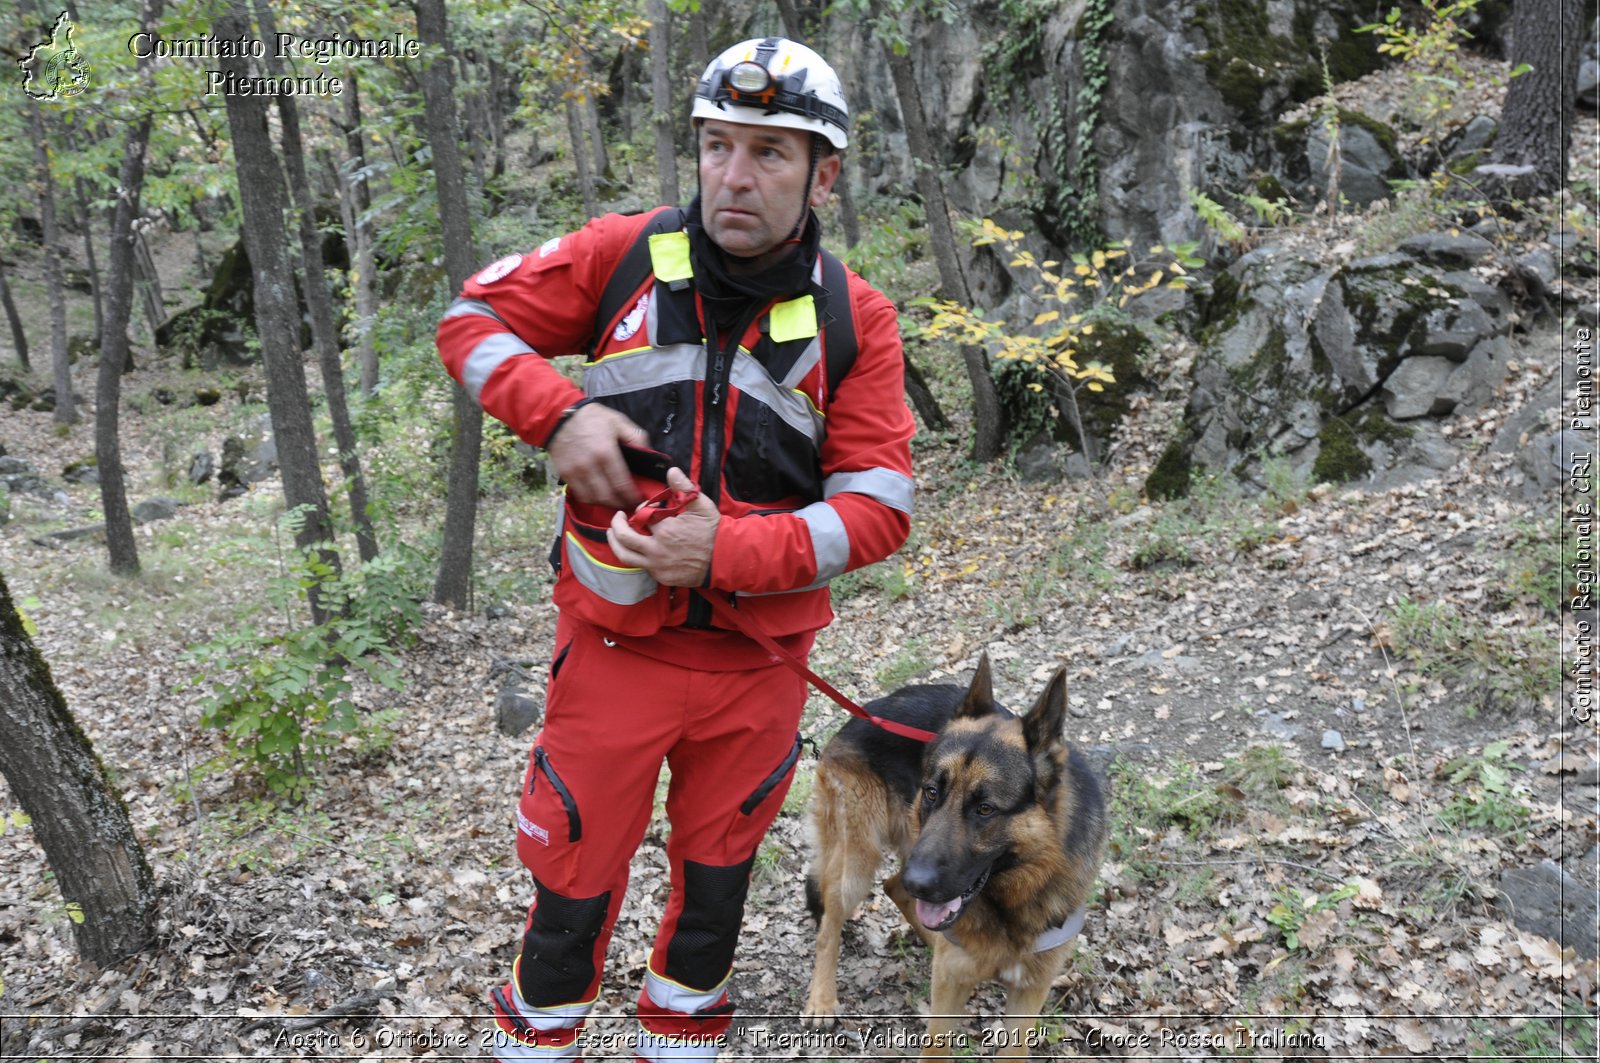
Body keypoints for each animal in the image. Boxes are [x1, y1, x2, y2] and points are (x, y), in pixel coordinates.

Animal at [806, 656, 1107, 1056]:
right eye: (932, 791)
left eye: (985, 809)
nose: (918, 882)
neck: (1009, 902)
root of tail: (867, 712)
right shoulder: (948, 992)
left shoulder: (1029, 992)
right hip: (858, 863)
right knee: (831, 924)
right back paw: (821, 1000)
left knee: (894, 886)